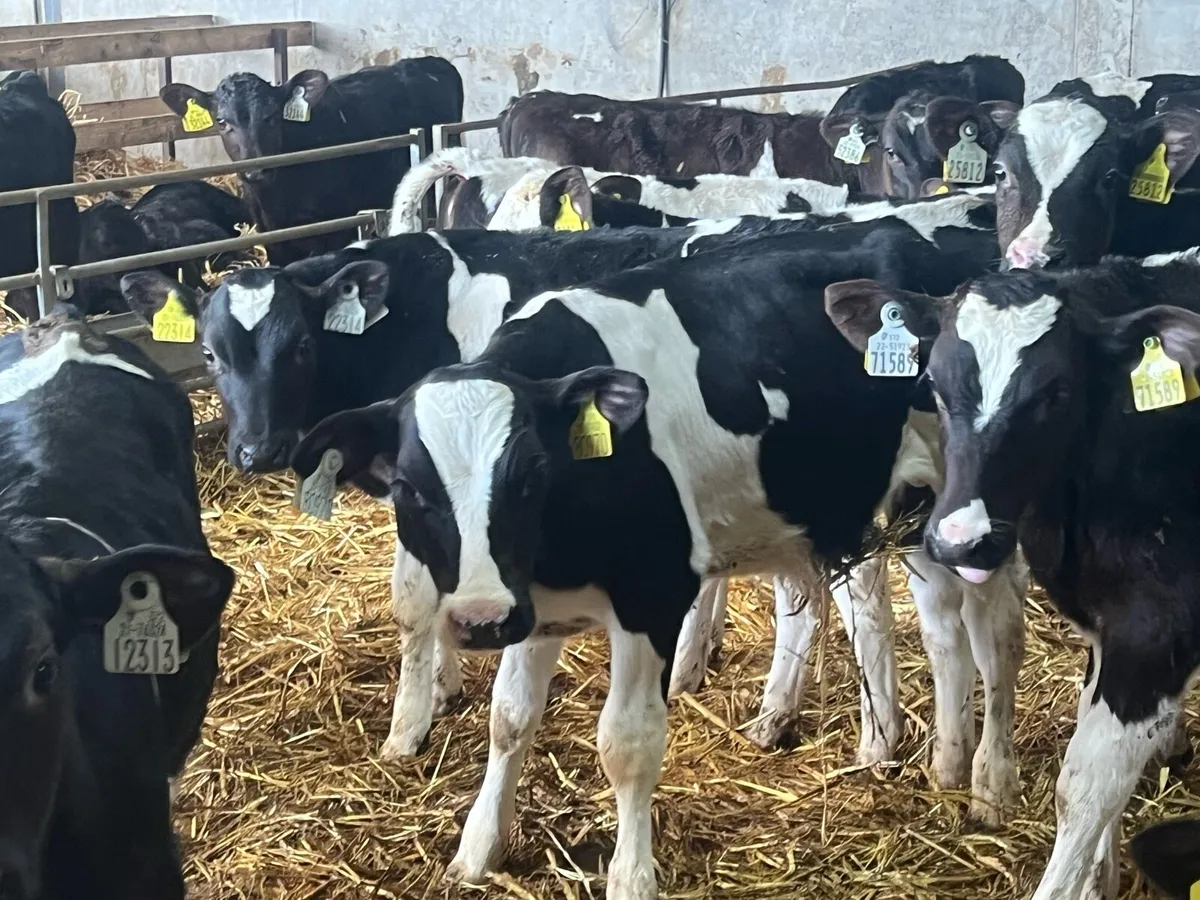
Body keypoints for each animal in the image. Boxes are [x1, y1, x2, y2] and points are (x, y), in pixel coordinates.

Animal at [283, 212, 1014, 897]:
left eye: (530, 472)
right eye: (408, 487)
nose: (482, 620)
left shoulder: (652, 597)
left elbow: (626, 744)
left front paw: (631, 877)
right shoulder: (533, 605)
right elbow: (509, 720)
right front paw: (478, 849)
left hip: (963, 512)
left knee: (984, 631)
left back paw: (980, 776)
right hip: (859, 514)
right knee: (899, 620)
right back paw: (899, 750)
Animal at [823, 247, 1200, 900]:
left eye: (1057, 391)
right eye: (933, 385)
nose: (960, 538)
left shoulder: (1156, 629)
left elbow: (1086, 785)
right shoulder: (1103, 625)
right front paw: (1099, 878)